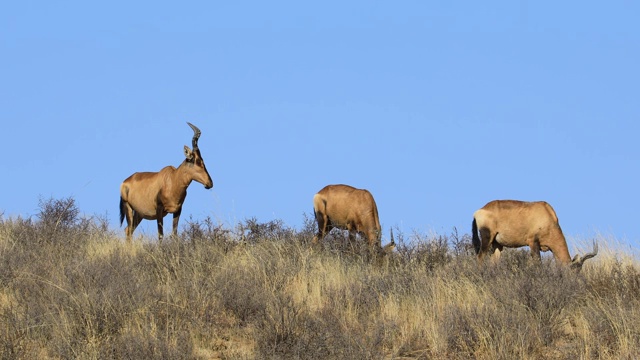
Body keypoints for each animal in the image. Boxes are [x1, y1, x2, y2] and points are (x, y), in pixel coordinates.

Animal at [470, 200, 600, 270]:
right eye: (572, 271)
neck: (547, 215)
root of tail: (479, 211)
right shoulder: (532, 242)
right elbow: (538, 263)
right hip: (487, 238)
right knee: (480, 257)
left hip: (497, 244)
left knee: (493, 262)